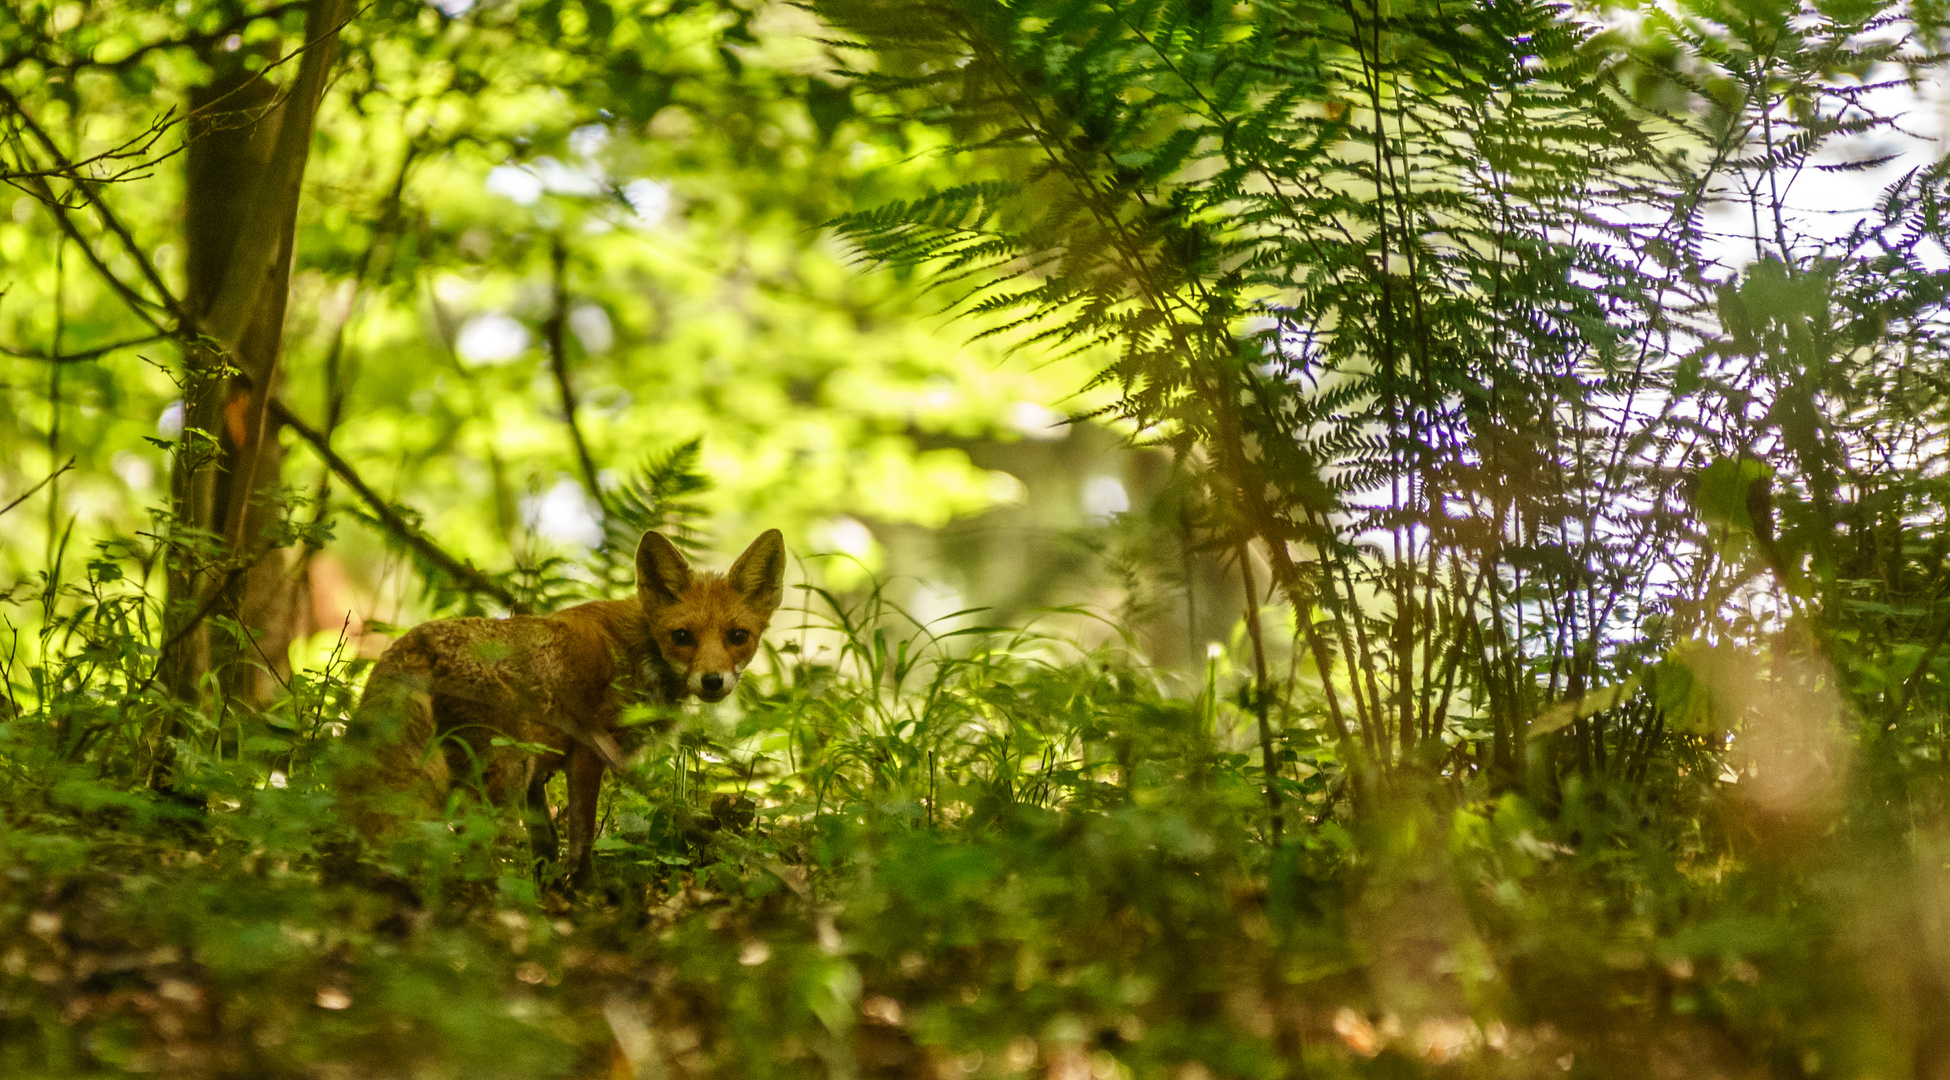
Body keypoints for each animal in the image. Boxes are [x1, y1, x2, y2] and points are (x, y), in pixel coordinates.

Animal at [335, 526, 783, 877]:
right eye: (683, 636)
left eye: (738, 636)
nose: (712, 681)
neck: (638, 648)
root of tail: (413, 643)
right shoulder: (587, 752)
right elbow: (582, 842)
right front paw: (585, 895)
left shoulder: (540, 771)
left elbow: (545, 847)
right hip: (501, 771)